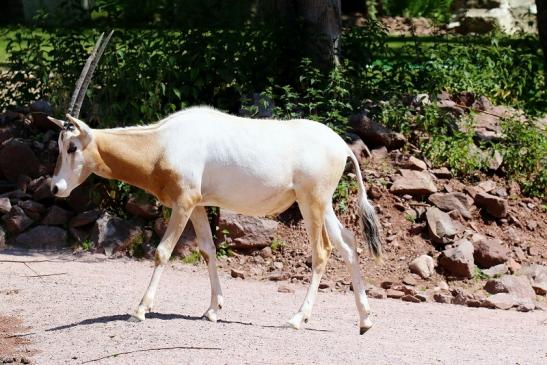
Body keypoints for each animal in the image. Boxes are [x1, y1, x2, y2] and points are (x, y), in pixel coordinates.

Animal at [47, 32, 384, 332]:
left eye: (72, 147)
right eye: (60, 145)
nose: (55, 188)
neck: (163, 143)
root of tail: (341, 145)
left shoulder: (182, 203)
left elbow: (162, 251)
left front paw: (140, 310)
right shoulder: (197, 205)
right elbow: (208, 249)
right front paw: (213, 310)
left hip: (310, 202)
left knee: (322, 250)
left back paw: (298, 318)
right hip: (322, 204)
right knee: (348, 243)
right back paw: (365, 321)